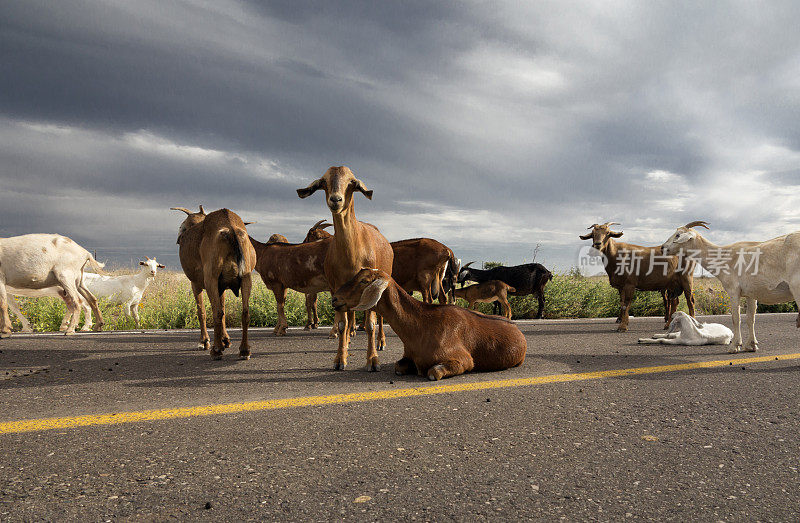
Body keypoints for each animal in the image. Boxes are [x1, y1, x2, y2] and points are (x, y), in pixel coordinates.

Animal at [173, 206, 256, 360]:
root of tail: (230, 230)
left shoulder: (196, 283)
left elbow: (202, 311)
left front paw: (204, 341)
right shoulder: (221, 286)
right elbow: (223, 310)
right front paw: (225, 340)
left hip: (210, 279)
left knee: (216, 313)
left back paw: (216, 350)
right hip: (246, 278)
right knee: (245, 312)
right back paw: (244, 350)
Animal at [296, 166, 394, 370]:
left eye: (351, 182)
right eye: (324, 182)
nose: (336, 200)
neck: (352, 253)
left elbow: (371, 324)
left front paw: (373, 360)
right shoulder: (336, 288)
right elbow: (342, 323)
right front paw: (340, 358)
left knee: (380, 318)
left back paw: (381, 342)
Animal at [332, 270, 528, 380]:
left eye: (364, 281)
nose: (335, 299)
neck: (422, 326)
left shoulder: (463, 360)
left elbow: (434, 372)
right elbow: (398, 366)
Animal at [664, 219, 800, 354]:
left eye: (677, 235)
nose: (663, 247)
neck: (724, 257)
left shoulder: (733, 291)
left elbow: (736, 318)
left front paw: (735, 346)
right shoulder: (751, 293)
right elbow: (750, 318)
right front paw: (751, 345)